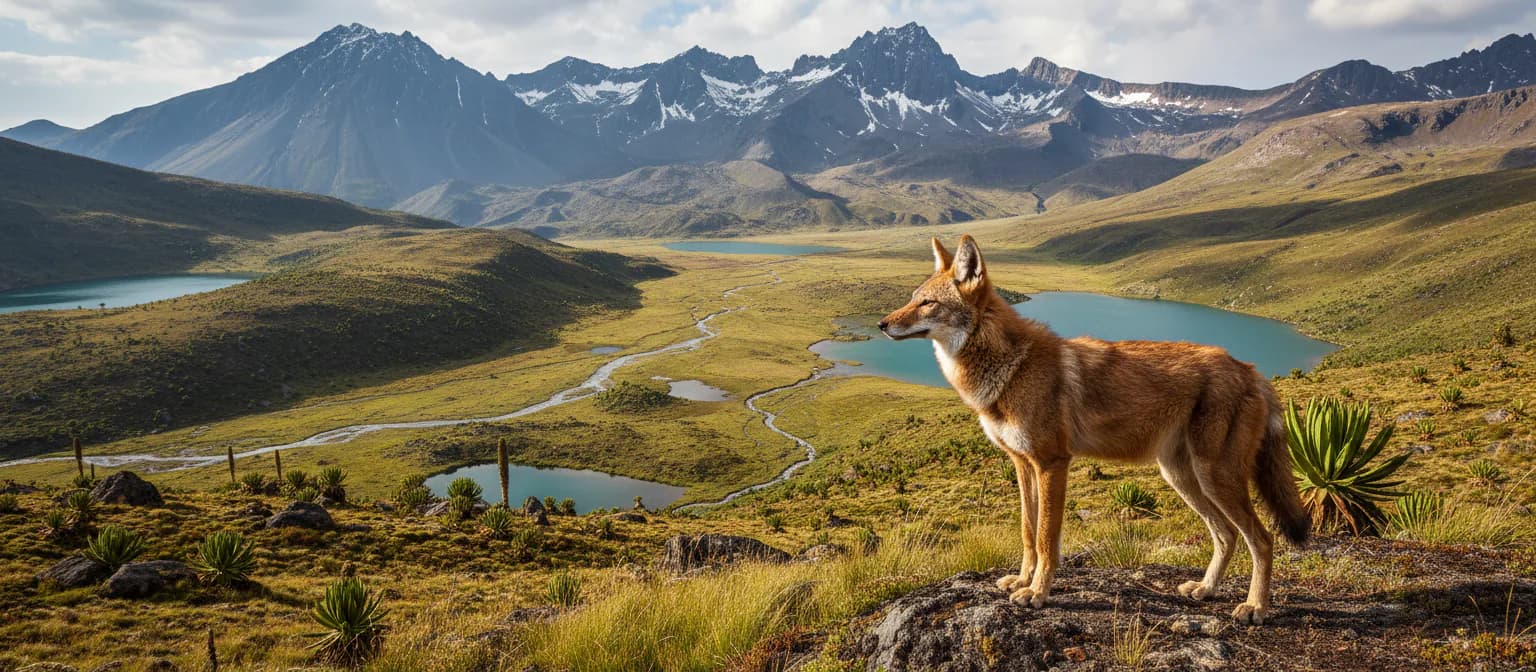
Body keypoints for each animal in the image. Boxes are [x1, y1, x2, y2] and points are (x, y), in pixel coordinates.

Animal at [878, 235, 1309, 624]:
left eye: (927, 303)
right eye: (912, 297)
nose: (882, 324)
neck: (1011, 366)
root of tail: (1251, 370)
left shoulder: (1053, 463)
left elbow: (1046, 539)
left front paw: (1037, 593)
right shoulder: (1022, 465)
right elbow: (1027, 532)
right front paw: (1021, 580)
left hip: (1215, 477)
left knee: (1262, 539)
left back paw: (1255, 607)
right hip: (1184, 478)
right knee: (1226, 535)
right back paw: (1205, 589)